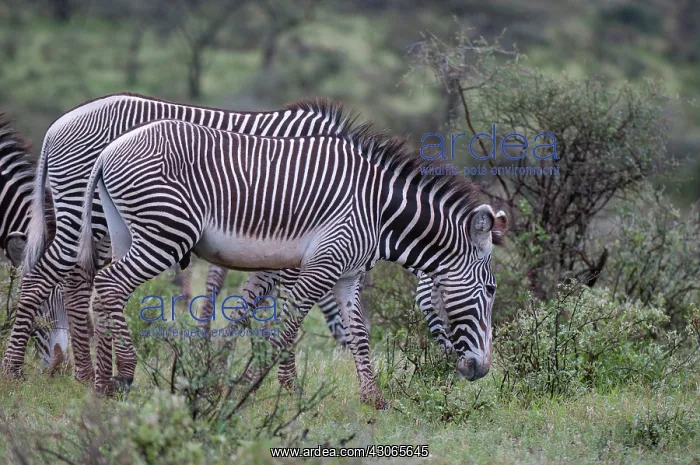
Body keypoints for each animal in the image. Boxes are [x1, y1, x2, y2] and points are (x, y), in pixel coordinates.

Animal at [76, 116, 508, 407]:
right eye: (491, 289)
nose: (481, 370)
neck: (379, 212)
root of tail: (109, 151)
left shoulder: (347, 274)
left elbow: (359, 332)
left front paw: (374, 398)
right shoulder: (322, 264)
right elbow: (288, 325)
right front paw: (264, 387)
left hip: (126, 232)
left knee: (103, 290)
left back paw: (101, 384)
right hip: (165, 232)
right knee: (112, 284)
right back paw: (124, 374)